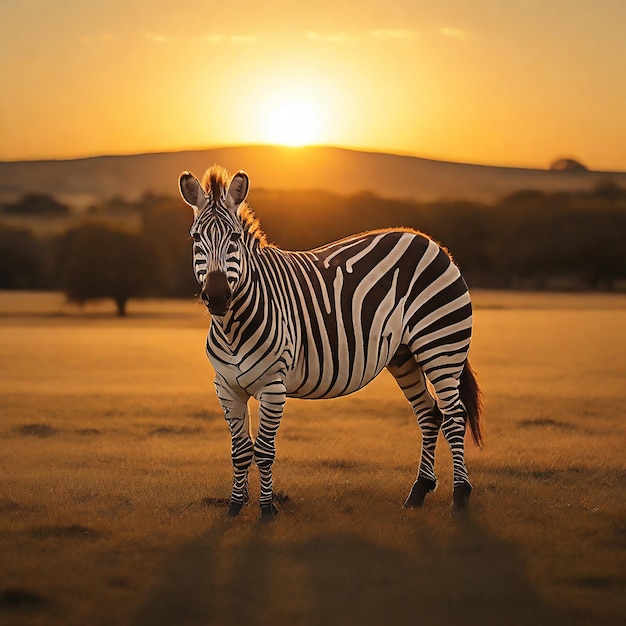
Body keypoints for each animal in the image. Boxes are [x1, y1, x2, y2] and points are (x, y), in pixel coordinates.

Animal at [178, 163, 480, 520]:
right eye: (196, 237)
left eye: (235, 238)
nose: (217, 297)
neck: (233, 326)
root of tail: (429, 242)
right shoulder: (226, 387)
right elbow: (240, 451)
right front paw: (235, 507)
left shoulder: (273, 386)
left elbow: (264, 450)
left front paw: (266, 510)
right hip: (403, 355)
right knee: (429, 414)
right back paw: (418, 492)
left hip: (441, 345)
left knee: (454, 416)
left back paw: (460, 495)